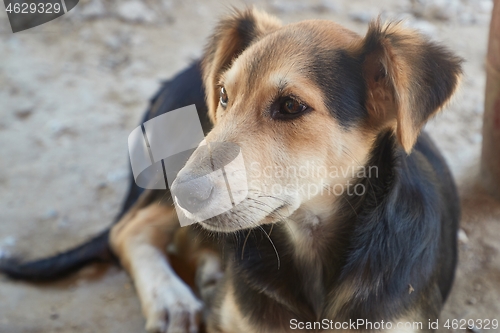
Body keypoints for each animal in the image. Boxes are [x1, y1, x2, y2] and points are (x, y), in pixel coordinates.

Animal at [0, 7, 460, 332]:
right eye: (223, 94)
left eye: (290, 106)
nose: (183, 194)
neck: (309, 244)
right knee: (127, 228)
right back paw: (172, 298)